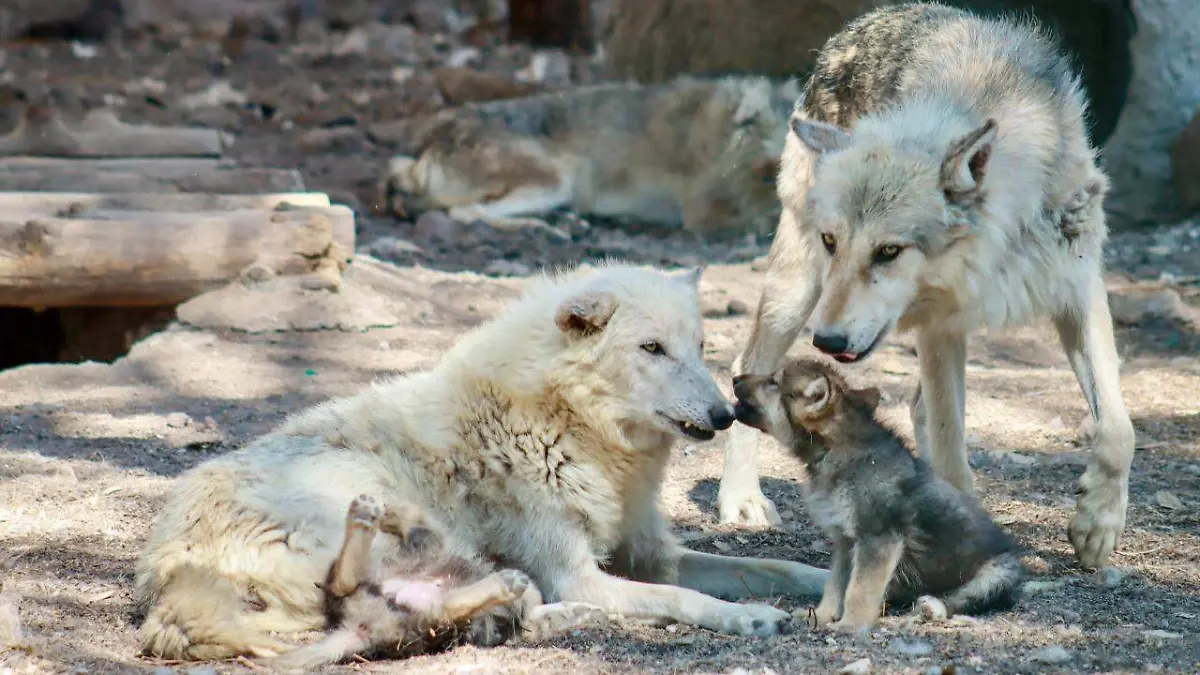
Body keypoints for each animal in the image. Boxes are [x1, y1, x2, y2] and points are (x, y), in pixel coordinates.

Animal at [134, 262, 829, 662]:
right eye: (652, 348)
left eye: (699, 345)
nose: (724, 414)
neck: (565, 422)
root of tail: (166, 568)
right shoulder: (580, 571)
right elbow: (684, 599)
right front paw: (750, 617)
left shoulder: (651, 553)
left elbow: (773, 565)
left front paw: (832, 583)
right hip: (389, 514)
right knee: (390, 601)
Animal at [715, 2, 1136, 573]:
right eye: (833, 241)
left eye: (889, 251)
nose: (827, 341)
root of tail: (869, 20)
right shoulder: (941, 326)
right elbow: (951, 446)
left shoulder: (1077, 289)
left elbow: (1118, 428)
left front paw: (1097, 524)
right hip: (796, 292)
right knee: (746, 366)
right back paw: (740, 499)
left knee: (916, 407)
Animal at [732, 357, 1025, 633]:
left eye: (773, 382)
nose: (734, 378)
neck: (836, 450)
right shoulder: (846, 541)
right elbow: (836, 586)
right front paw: (821, 616)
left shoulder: (878, 539)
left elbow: (858, 591)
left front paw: (850, 625)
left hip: (997, 574)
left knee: (962, 599)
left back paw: (932, 607)